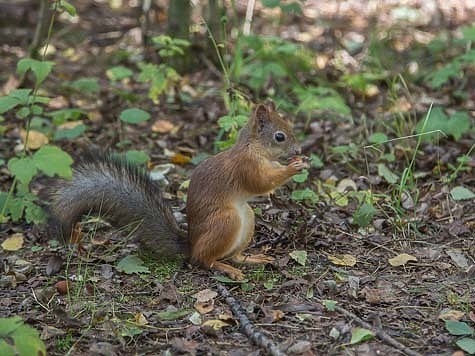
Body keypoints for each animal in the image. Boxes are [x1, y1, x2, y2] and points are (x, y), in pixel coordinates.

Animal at [51, 100, 304, 278]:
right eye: (279, 136)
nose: (299, 149)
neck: (253, 148)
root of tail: (190, 245)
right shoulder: (246, 167)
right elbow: (261, 183)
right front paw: (293, 167)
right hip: (226, 221)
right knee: (203, 260)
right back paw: (225, 268)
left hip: (247, 218)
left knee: (233, 255)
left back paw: (251, 259)